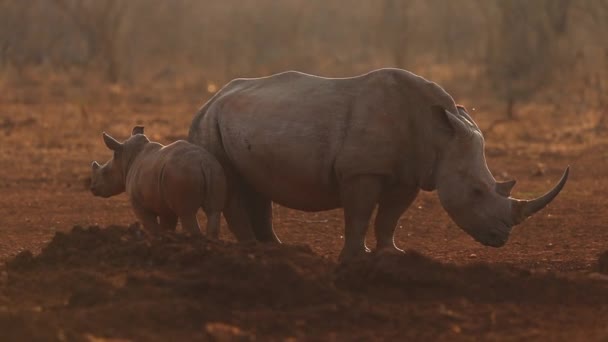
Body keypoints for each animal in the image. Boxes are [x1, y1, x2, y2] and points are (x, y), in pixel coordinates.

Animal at [92, 125, 228, 238]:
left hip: (183, 174)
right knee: (214, 211)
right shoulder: (164, 205)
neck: (126, 159)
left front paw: (156, 240)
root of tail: (202, 163)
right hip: (215, 169)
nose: (92, 188)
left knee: (187, 215)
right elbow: (167, 226)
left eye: (105, 173)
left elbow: (152, 227)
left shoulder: (139, 205)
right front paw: (168, 238)